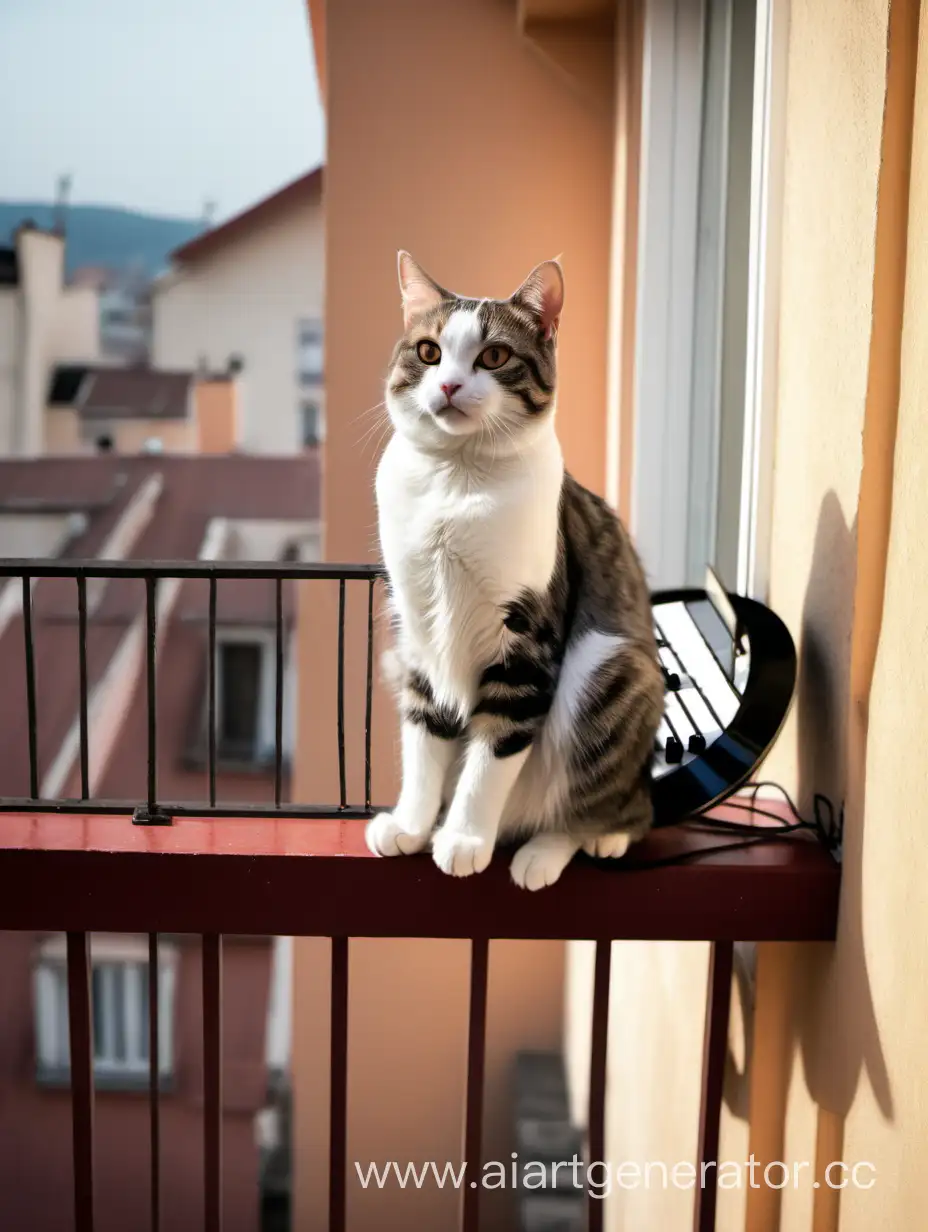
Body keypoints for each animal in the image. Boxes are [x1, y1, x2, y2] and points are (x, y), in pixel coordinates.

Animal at [364, 252, 660, 887]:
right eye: (429, 351)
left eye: (494, 356)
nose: (449, 384)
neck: (456, 481)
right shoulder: (417, 632)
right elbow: (424, 737)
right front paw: (412, 824)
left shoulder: (526, 643)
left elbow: (494, 750)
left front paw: (464, 838)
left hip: (610, 671)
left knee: (606, 810)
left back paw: (553, 849)